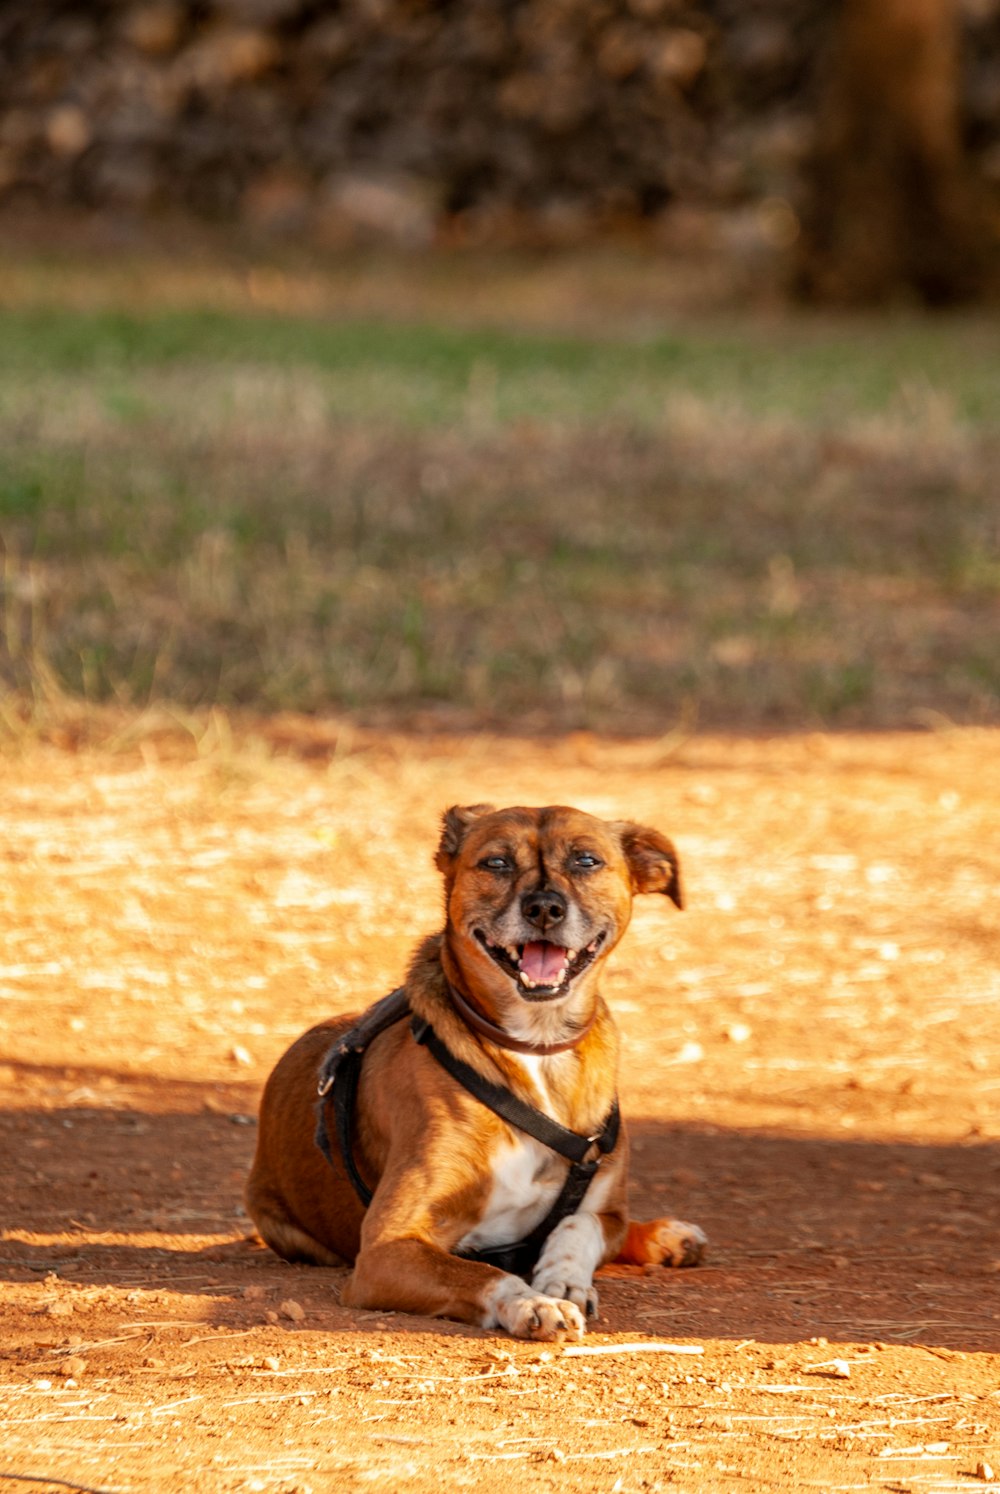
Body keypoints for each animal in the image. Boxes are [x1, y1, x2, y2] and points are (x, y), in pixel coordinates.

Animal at [245, 806, 705, 1344]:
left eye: (587, 860)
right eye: (497, 863)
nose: (544, 908)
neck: (537, 1048)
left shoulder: (604, 1207)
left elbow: (580, 1225)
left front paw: (562, 1278)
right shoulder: (386, 1247)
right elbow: (479, 1272)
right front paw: (533, 1302)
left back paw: (665, 1237)